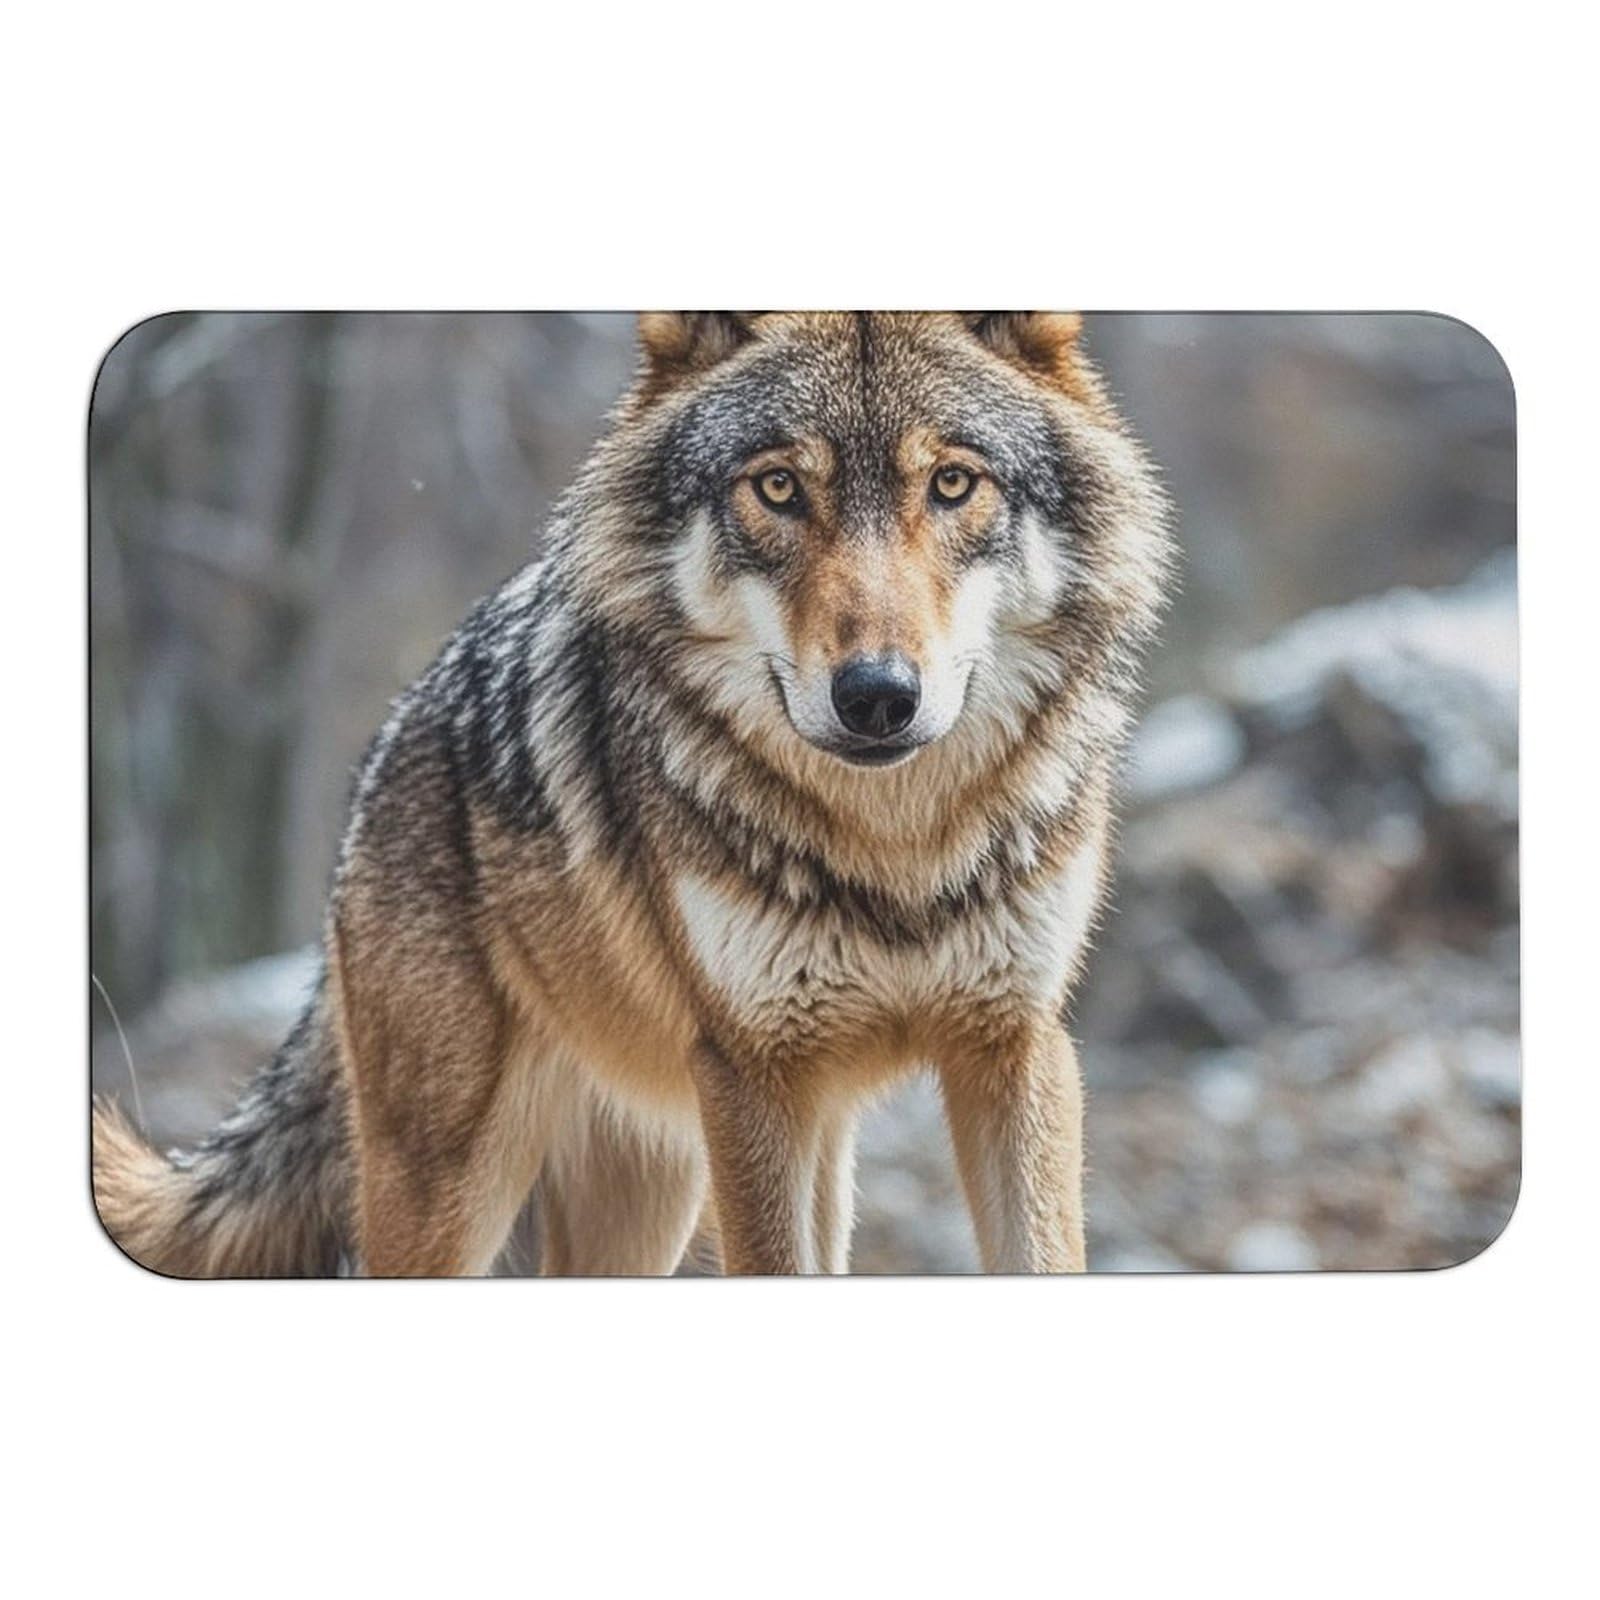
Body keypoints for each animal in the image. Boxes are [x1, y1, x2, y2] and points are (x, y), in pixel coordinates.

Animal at [93, 312, 1173, 1276]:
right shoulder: (753, 1077)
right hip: (460, 1184)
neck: (892, 853)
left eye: (952, 483)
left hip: (690, 1179)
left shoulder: (1016, 1050)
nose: (876, 696)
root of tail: (392, 734)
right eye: (777, 487)